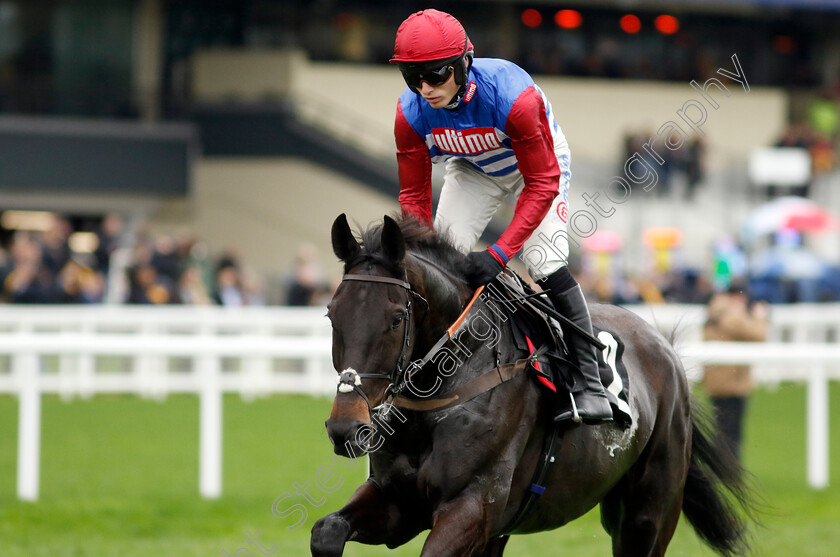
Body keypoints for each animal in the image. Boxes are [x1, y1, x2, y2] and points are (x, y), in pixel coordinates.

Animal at [310, 215, 756, 556]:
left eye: (396, 319)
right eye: (331, 314)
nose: (345, 427)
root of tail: (664, 346)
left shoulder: (470, 506)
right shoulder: (399, 503)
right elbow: (326, 532)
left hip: (648, 512)